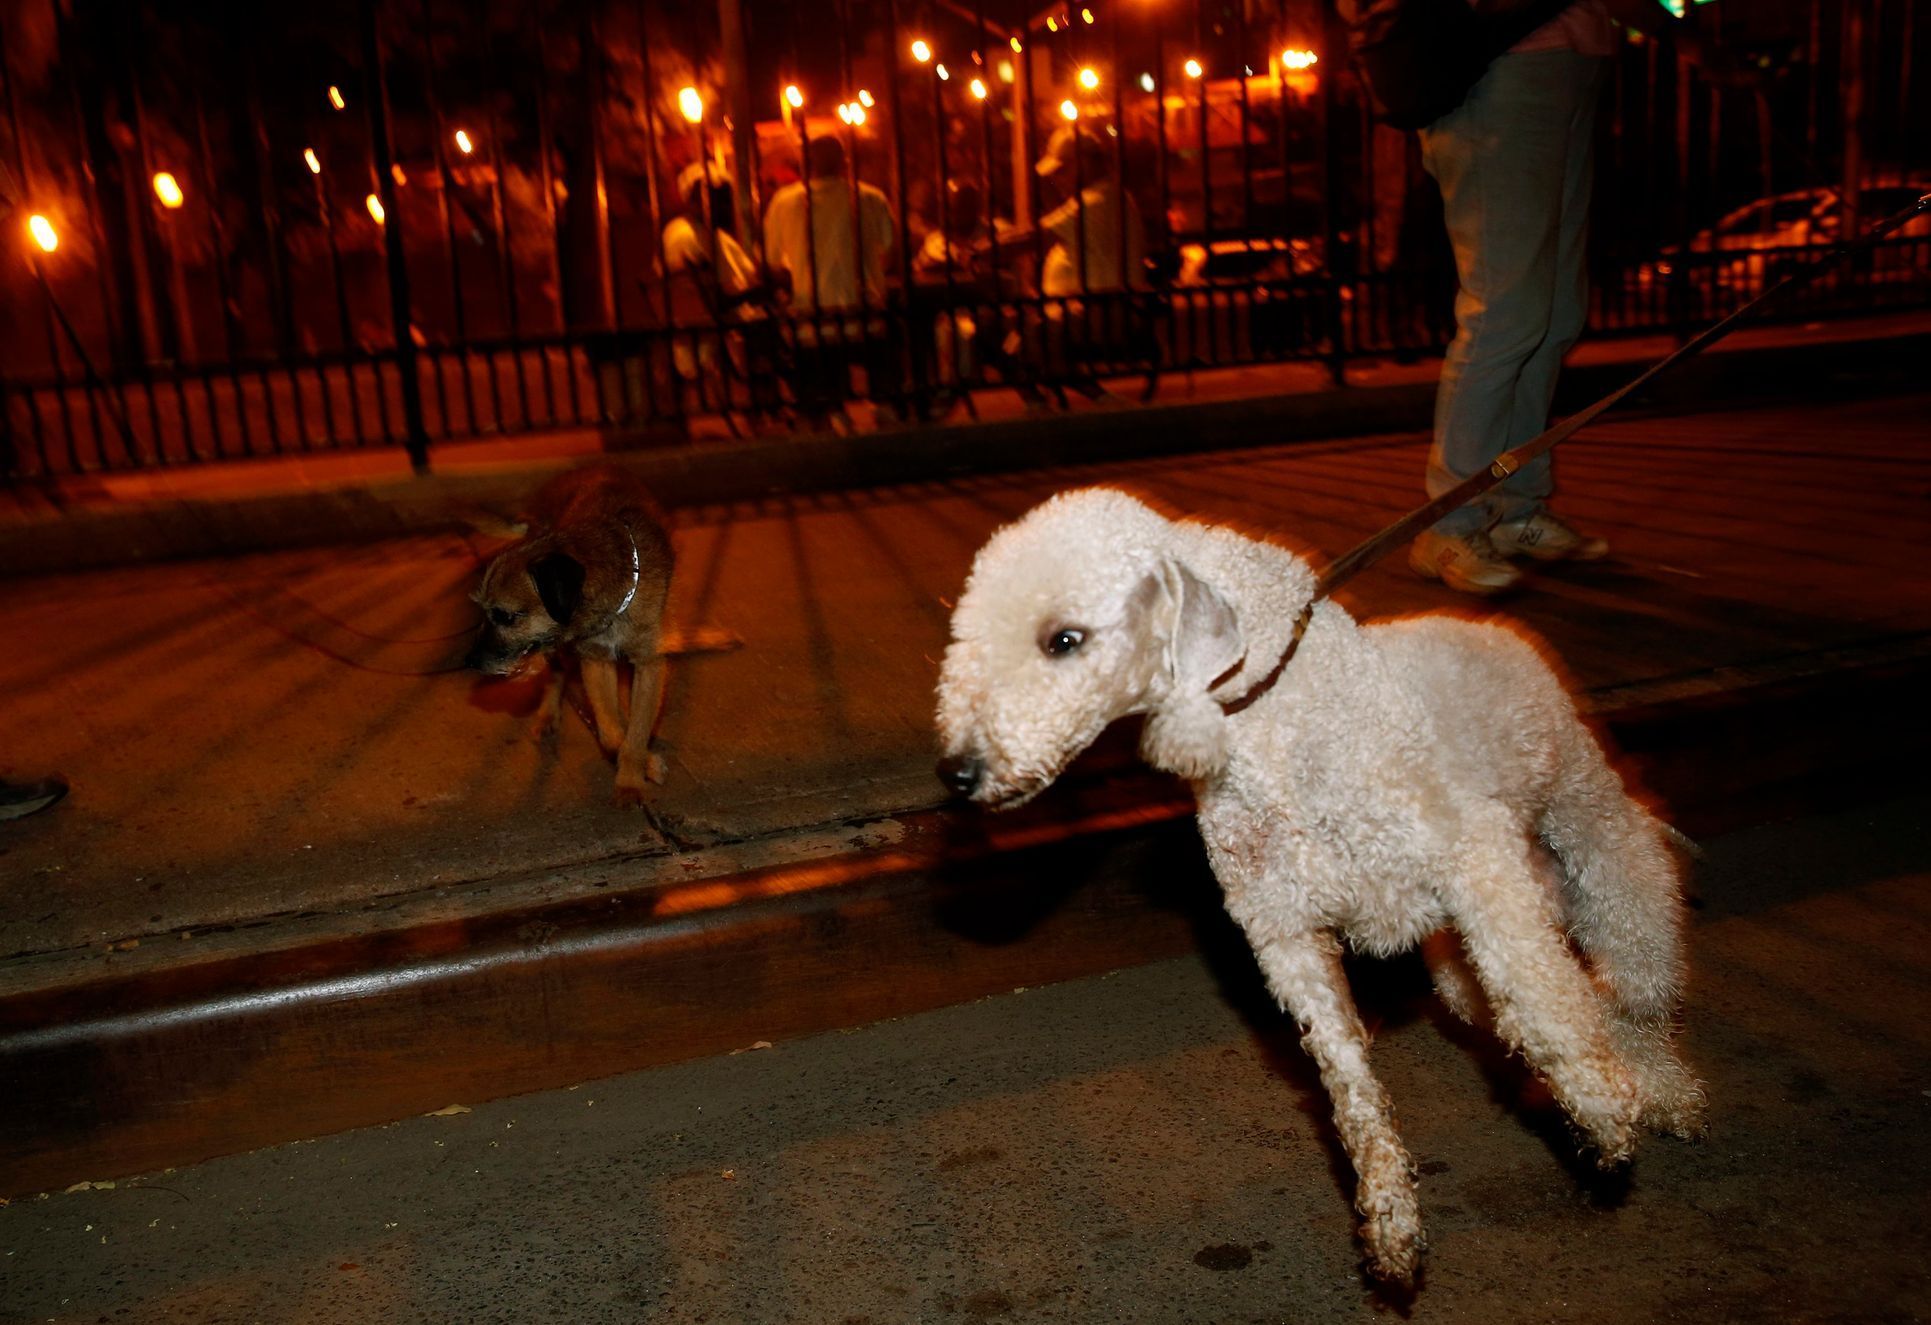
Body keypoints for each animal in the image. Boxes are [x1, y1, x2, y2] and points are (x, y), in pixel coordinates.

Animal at [469, 467, 675, 803]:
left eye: (505, 616)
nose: (469, 661)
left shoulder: (650, 665)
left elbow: (636, 728)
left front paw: (632, 777)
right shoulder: (594, 661)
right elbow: (610, 732)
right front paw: (641, 764)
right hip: (554, 646)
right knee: (556, 674)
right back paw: (548, 714)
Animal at [934, 488, 1707, 1290]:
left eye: (1064, 639)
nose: (957, 773)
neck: (1276, 719)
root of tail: (1499, 631)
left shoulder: (1473, 856)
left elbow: (1547, 1005)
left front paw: (1601, 1111)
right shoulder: (1285, 933)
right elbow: (1348, 1082)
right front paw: (1391, 1217)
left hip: (1594, 838)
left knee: (1629, 986)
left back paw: (1659, 1090)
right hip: (1475, 940)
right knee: (1538, 993)